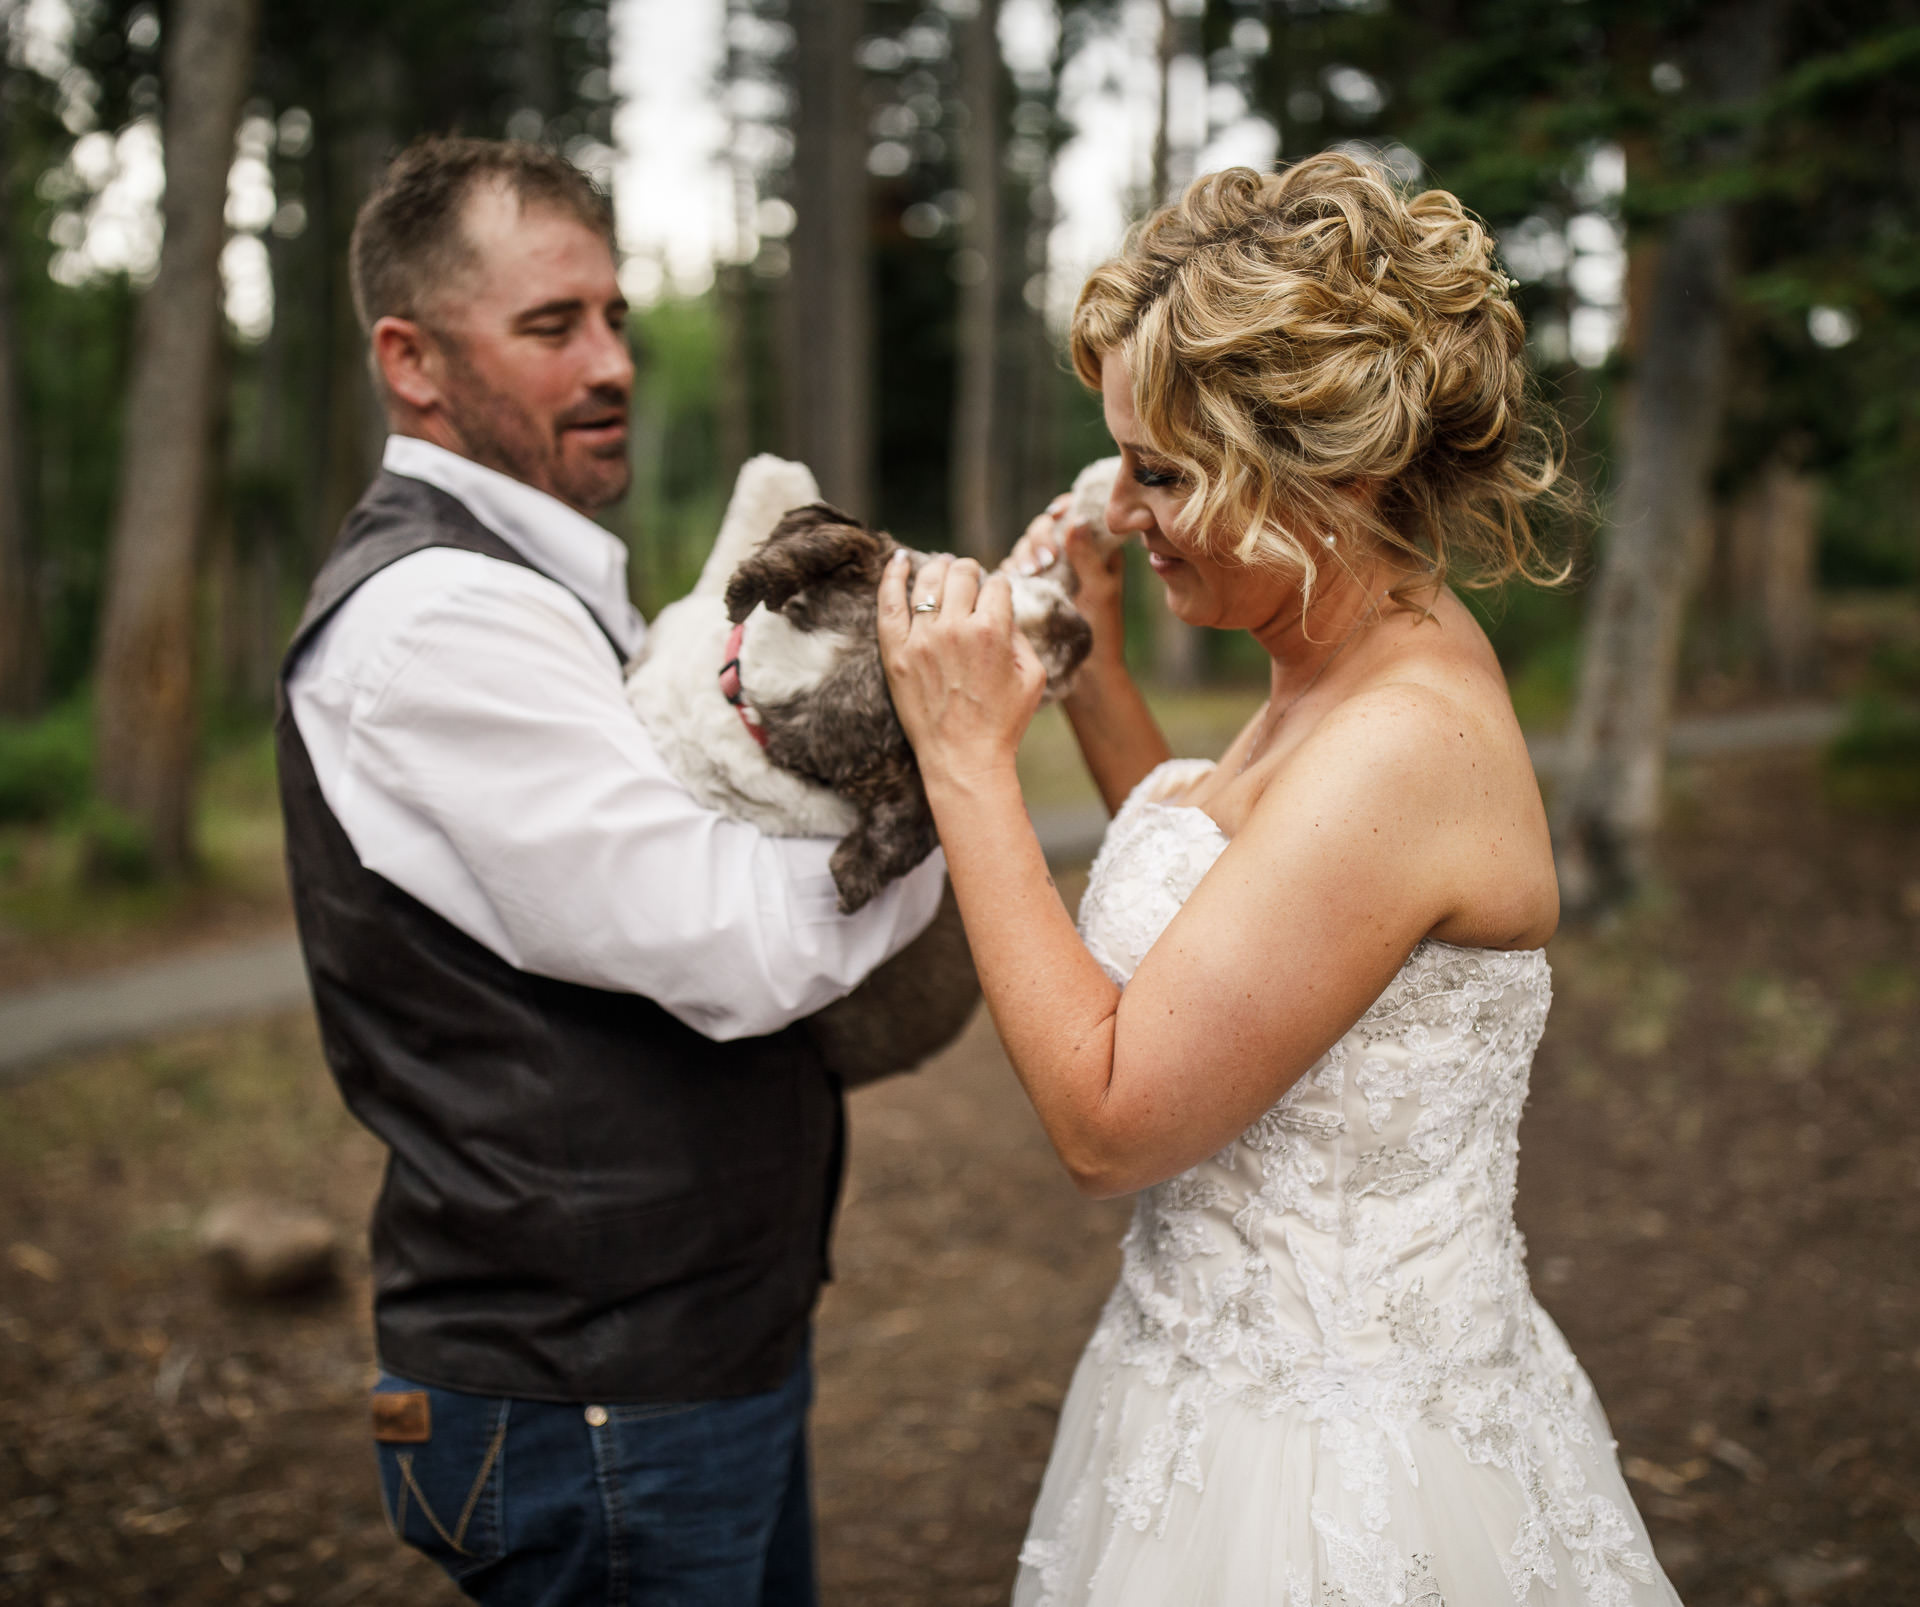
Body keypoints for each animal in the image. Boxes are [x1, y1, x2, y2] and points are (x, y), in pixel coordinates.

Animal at [622, 451, 1121, 1075]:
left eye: (977, 594)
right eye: (1003, 666)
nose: (1083, 636)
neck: (758, 711)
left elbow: (768, 495)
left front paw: (1102, 489)